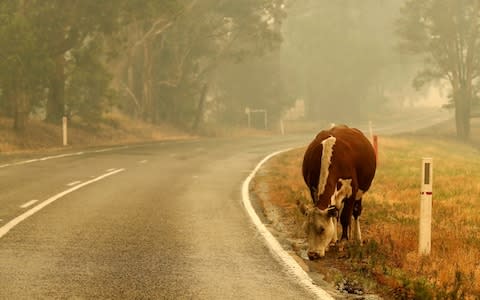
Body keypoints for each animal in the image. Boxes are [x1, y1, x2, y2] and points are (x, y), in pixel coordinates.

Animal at [300, 125, 376, 258]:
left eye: (322, 229)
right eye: (306, 229)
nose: (312, 254)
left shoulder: (352, 191)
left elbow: (345, 217)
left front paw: (344, 241)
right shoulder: (313, 189)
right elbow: (334, 216)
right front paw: (331, 242)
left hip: (360, 193)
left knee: (356, 212)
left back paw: (357, 239)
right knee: (335, 214)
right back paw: (334, 240)